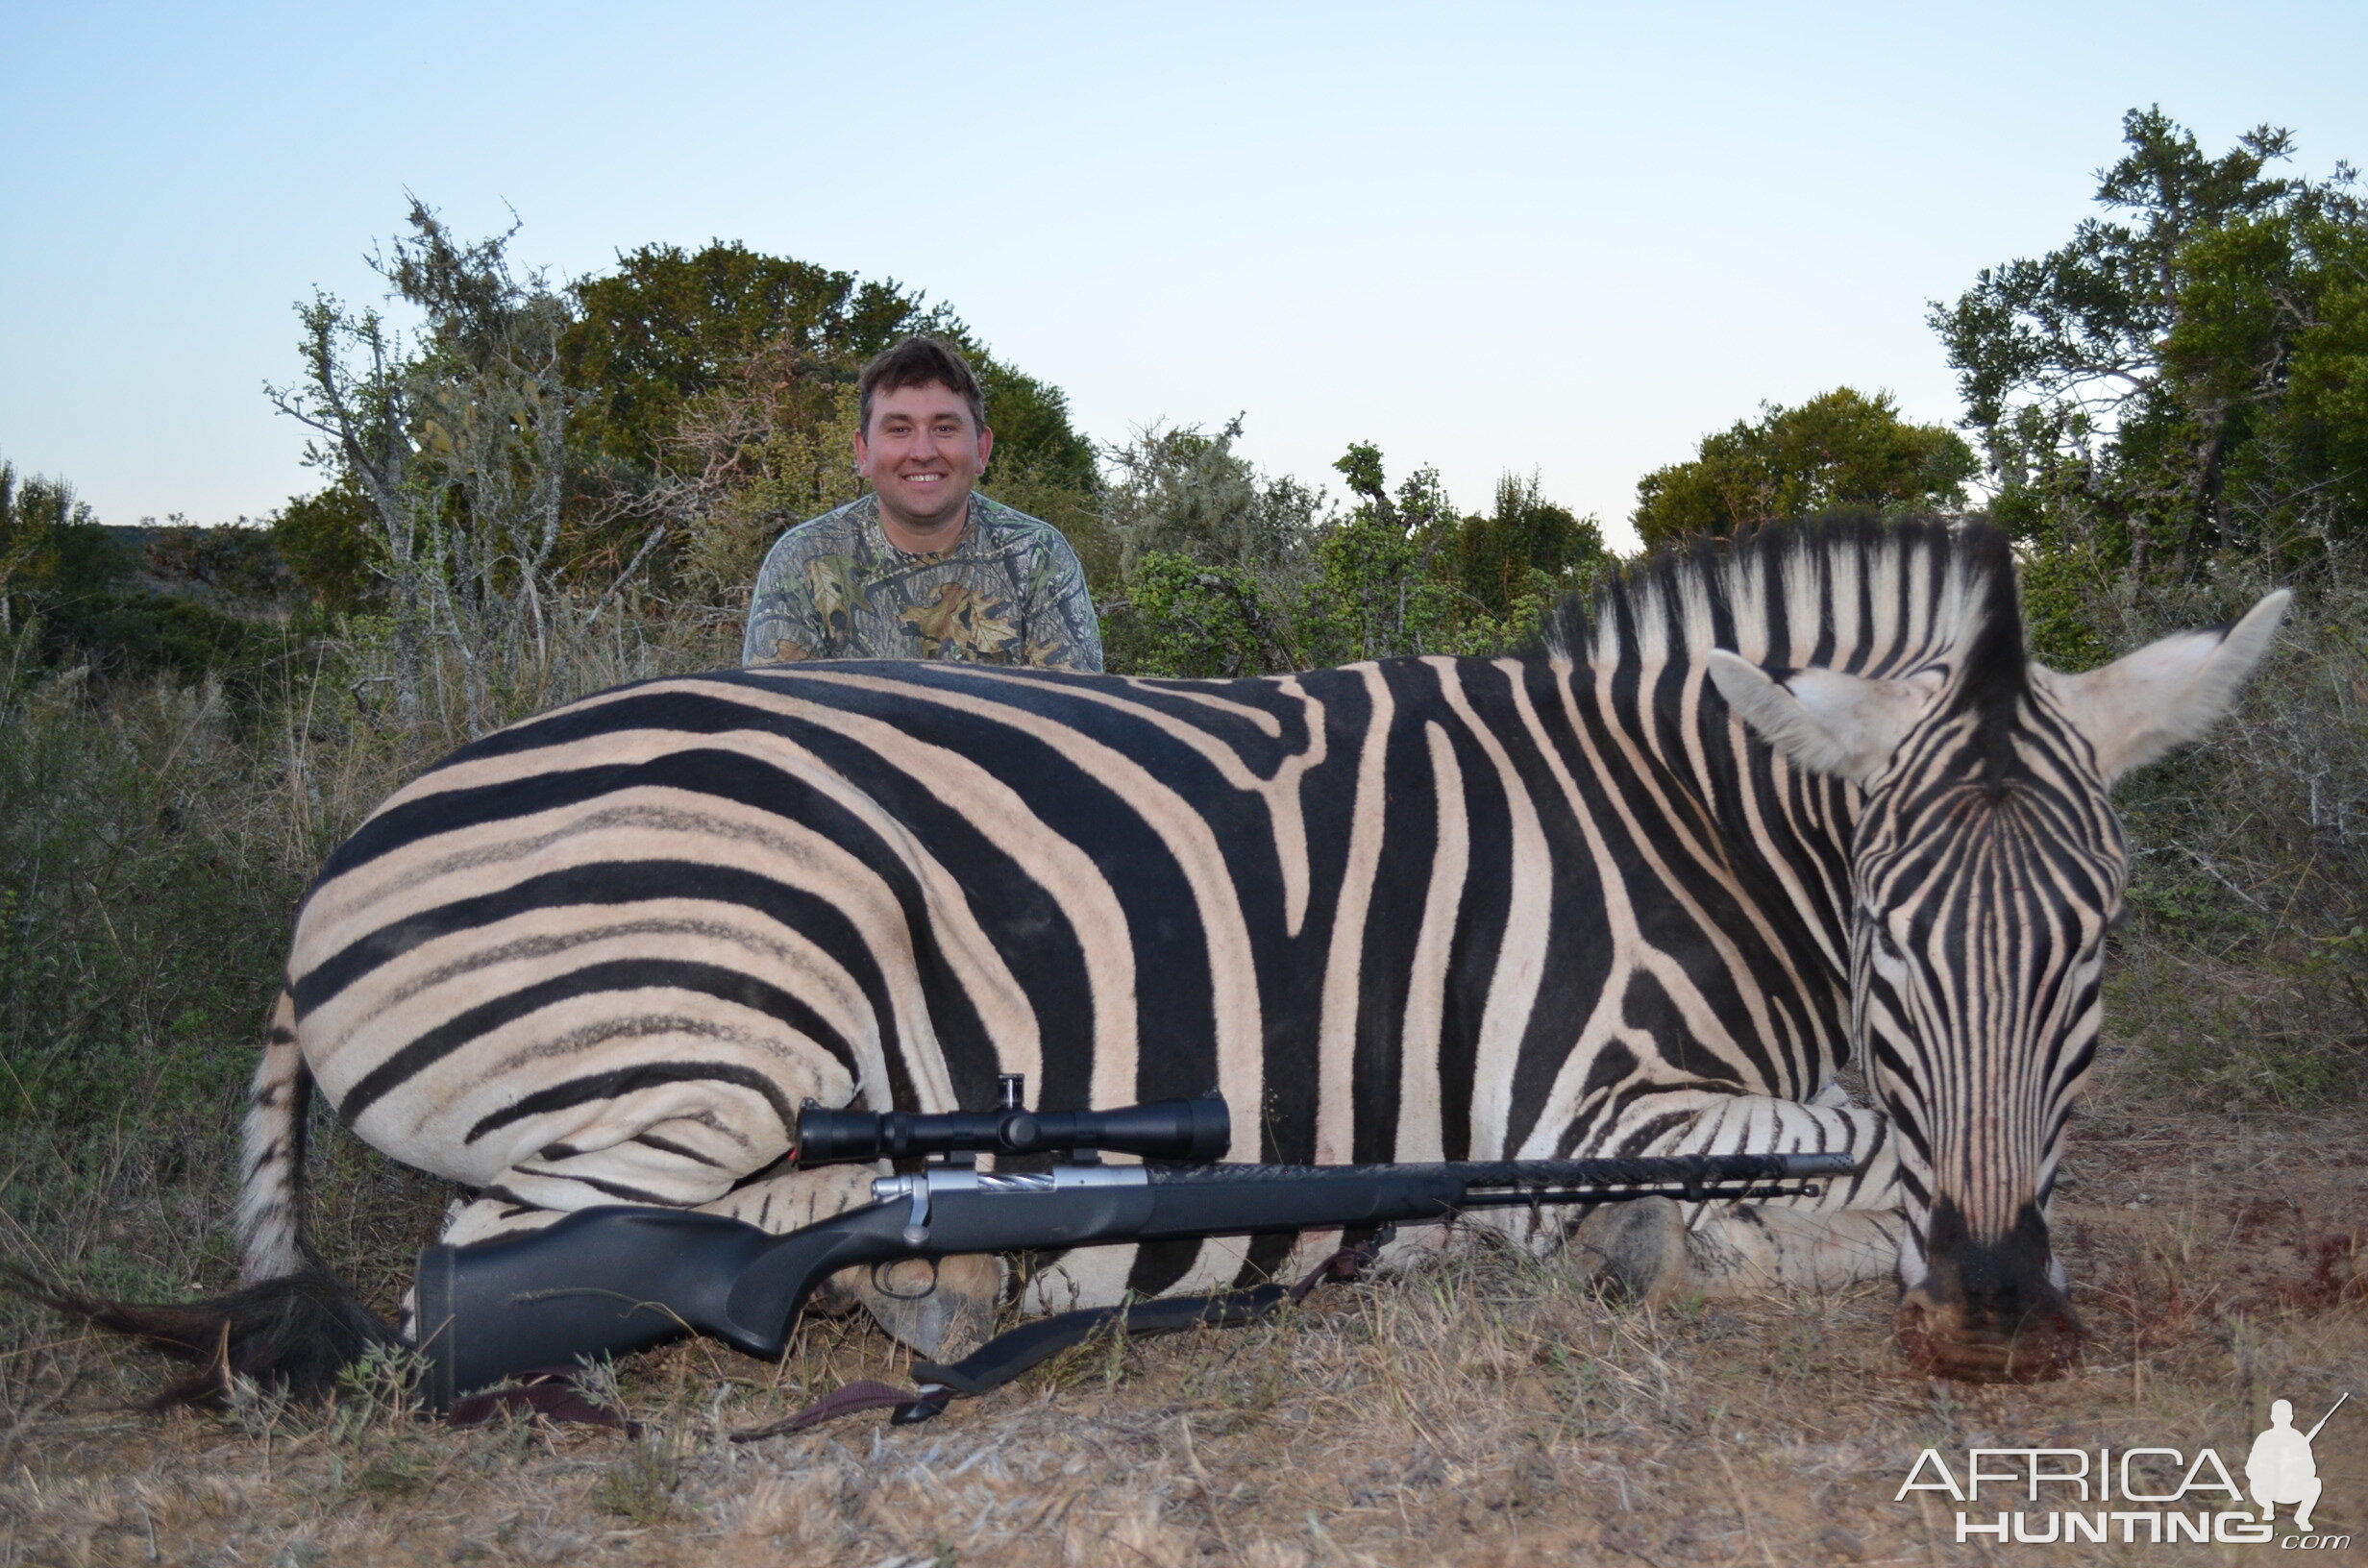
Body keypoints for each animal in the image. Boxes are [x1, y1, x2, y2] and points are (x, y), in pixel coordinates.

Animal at [55, 518, 2282, 1402]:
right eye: (1884, 935)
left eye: (2090, 944)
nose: (1994, 1316)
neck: (1687, 825)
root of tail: (343, 862)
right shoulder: (1584, 1093)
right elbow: (1831, 1154)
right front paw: (1658, 1248)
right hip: (714, 1028)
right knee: (559, 1239)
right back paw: (982, 1282)